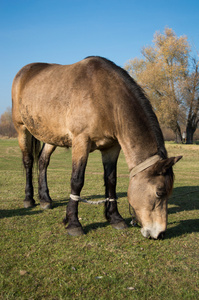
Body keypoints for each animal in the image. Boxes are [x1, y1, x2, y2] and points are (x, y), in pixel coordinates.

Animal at [11, 56, 182, 239]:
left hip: (51, 136)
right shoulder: (81, 141)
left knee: (43, 161)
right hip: (22, 129)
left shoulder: (111, 148)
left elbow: (111, 180)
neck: (105, 98)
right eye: (159, 192)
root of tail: (25, 71)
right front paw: (73, 223)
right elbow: (77, 181)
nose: (160, 233)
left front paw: (115, 218)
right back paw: (29, 199)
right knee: (28, 161)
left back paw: (45, 199)